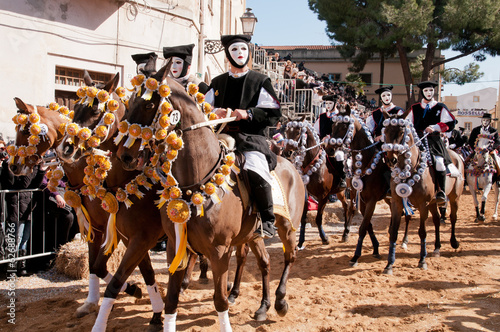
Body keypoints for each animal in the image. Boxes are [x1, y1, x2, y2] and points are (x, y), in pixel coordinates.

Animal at [116, 64, 304, 330]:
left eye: (149, 104)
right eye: (130, 102)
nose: (125, 155)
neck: (195, 183)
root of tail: (292, 165)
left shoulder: (219, 251)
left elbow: (219, 300)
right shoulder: (175, 245)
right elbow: (171, 300)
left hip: (287, 226)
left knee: (290, 256)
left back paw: (279, 301)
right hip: (253, 234)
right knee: (265, 262)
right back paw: (263, 306)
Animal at [284, 116, 350, 244]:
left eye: (298, 132)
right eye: (287, 131)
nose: (287, 152)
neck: (313, 163)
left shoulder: (323, 196)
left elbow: (318, 218)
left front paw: (324, 238)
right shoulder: (306, 195)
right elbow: (303, 219)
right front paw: (301, 241)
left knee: (351, 207)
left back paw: (346, 232)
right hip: (340, 192)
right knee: (347, 206)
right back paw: (346, 232)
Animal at [328, 105, 410, 266]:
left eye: (344, 126)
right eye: (333, 125)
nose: (330, 148)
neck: (367, 162)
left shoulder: (371, 200)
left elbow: (363, 227)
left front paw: (355, 256)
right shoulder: (361, 199)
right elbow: (367, 224)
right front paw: (376, 248)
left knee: (408, 215)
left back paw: (404, 241)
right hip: (388, 198)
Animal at [382, 110, 464, 274]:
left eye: (401, 132)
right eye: (386, 131)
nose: (391, 160)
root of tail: (457, 155)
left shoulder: (423, 204)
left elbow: (422, 232)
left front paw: (422, 261)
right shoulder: (397, 203)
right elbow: (394, 232)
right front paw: (389, 264)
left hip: (454, 197)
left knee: (453, 218)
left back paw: (454, 242)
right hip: (433, 203)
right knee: (437, 219)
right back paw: (437, 247)